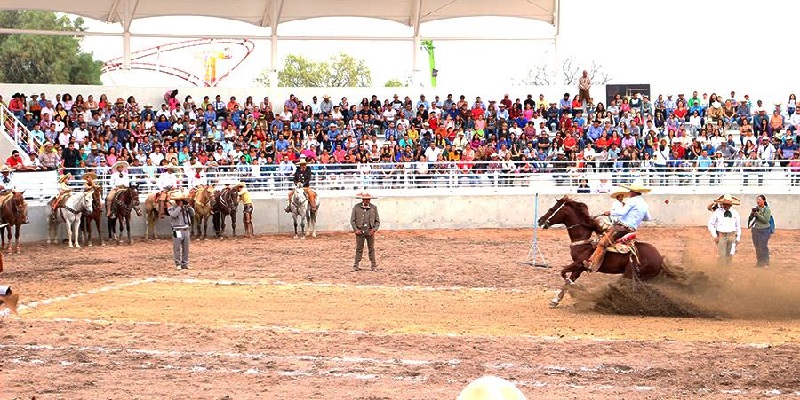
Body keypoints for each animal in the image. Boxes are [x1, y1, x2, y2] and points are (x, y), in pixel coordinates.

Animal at [536, 196, 676, 306]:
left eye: (551, 209)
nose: (540, 220)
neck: (584, 241)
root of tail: (660, 259)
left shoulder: (579, 263)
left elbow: (563, 273)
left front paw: (575, 288)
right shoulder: (579, 268)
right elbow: (568, 279)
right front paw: (556, 300)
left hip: (629, 275)